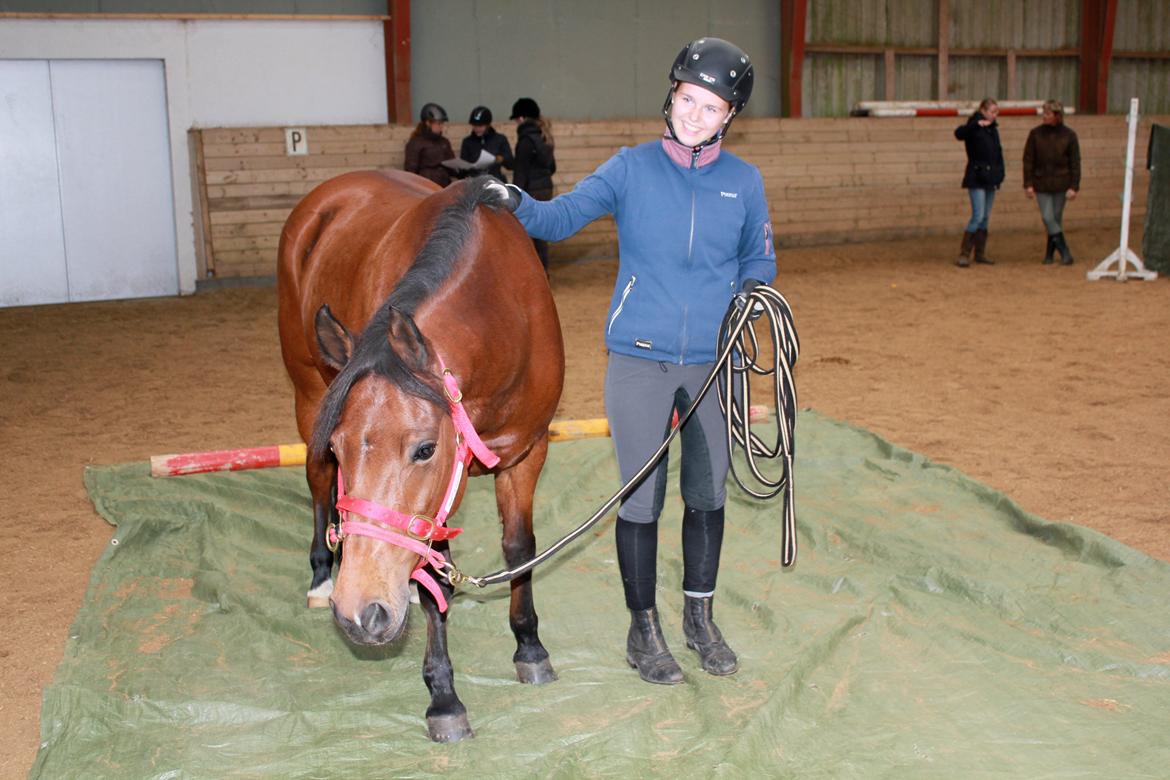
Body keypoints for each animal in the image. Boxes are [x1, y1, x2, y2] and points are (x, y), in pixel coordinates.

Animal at [277, 170, 565, 741]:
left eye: (425, 449)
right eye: (339, 448)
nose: (357, 613)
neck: (502, 314)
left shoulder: (528, 451)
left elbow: (519, 547)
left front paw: (529, 647)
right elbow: (437, 580)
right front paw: (445, 698)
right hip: (308, 392)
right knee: (317, 487)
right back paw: (323, 574)